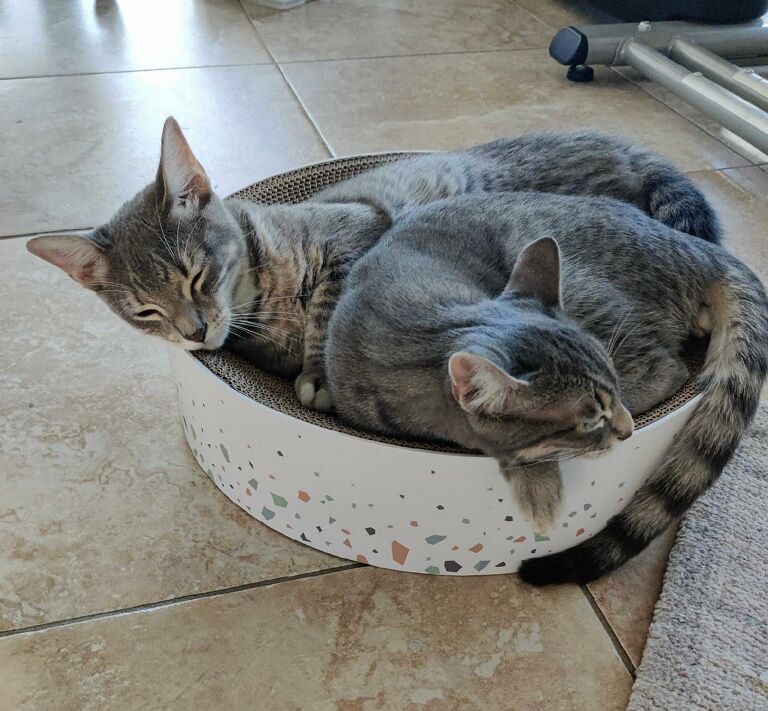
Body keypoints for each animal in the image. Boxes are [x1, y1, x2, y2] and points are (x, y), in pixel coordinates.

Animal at [25, 116, 720, 412]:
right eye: (147, 311)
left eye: (197, 274)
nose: (194, 332)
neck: (262, 301)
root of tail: (624, 145)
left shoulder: (359, 232)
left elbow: (331, 312)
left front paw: (320, 373)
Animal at [328, 191, 768, 584]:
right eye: (588, 422)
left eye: (612, 388)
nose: (627, 431)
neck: (413, 327)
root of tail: (698, 248)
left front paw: (538, 486)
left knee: (669, 371)